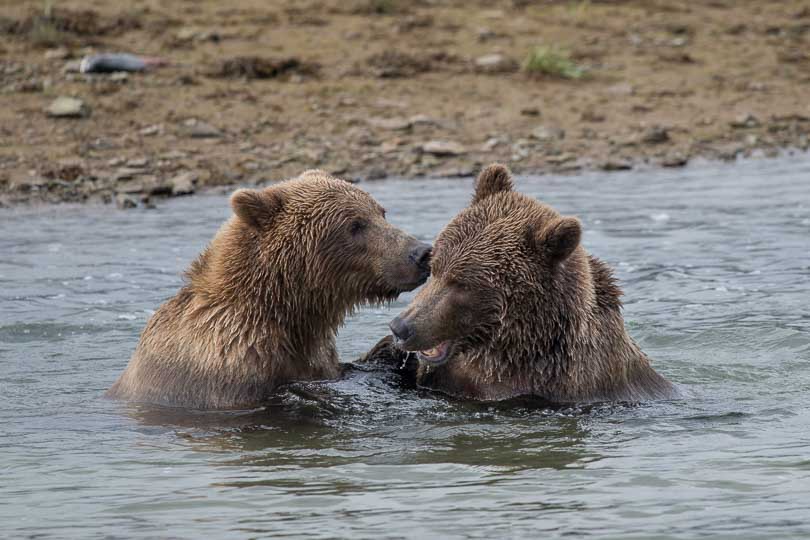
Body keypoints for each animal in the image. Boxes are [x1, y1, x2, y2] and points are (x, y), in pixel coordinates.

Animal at [112, 171, 436, 412]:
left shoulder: (318, 359)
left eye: (381, 212)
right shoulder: (229, 371)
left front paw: (395, 352)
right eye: (355, 225)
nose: (421, 252)